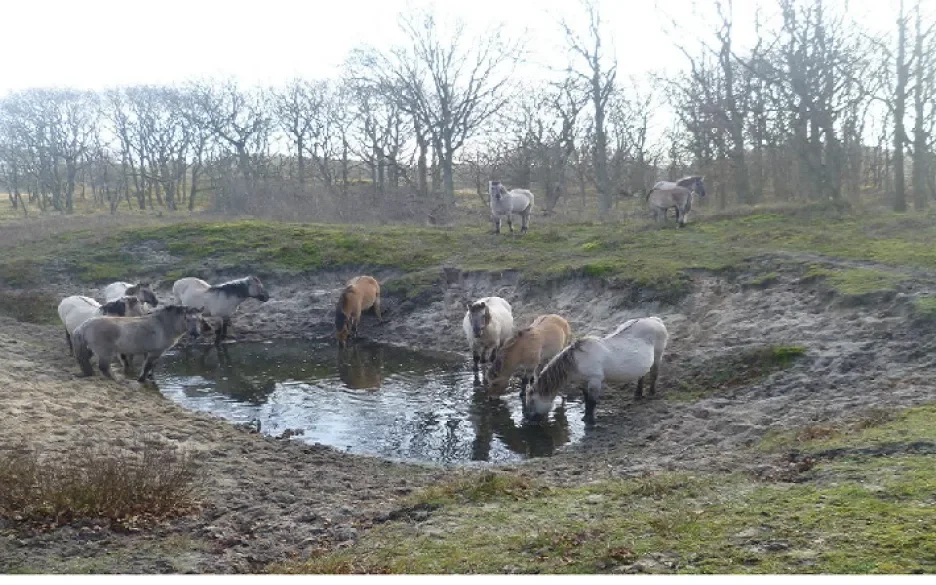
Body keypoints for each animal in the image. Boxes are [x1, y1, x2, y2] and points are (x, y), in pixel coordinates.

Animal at [72, 304, 205, 380]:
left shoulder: (150, 352)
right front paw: (141, 380)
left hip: (91, 350)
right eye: (187, 319)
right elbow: (147, 367)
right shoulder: (155, 352)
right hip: (105, 352)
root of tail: (84, 325)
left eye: (200, 319)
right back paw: (116, 380)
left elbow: (150, 367)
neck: (163, 325)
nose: (196, 334)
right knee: (104, 367)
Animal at [528, 314, 664, 424]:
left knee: (654, 373)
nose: (530, 421)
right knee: (642, 375)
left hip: (658, 355)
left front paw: (591, 421)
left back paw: (651, 393)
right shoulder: (583, 382)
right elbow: (587, 400)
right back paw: (638, 395)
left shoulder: (595, 380)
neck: (577, 360)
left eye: (532, 402)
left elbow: (592, 401)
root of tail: (655, 320)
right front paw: (585, 418)